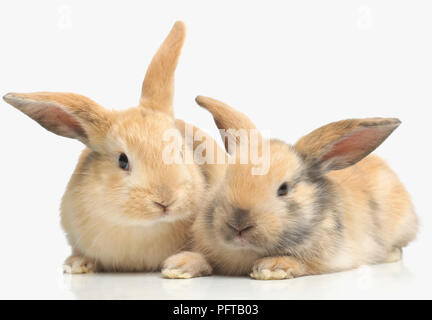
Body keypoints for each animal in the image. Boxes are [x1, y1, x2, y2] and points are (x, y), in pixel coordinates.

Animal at [162, 95, 418, 280]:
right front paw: (177, 266)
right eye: (226, 178)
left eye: (283, 189)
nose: (238, 225)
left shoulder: (332, 259)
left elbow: (304, 264)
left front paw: (272, 267)